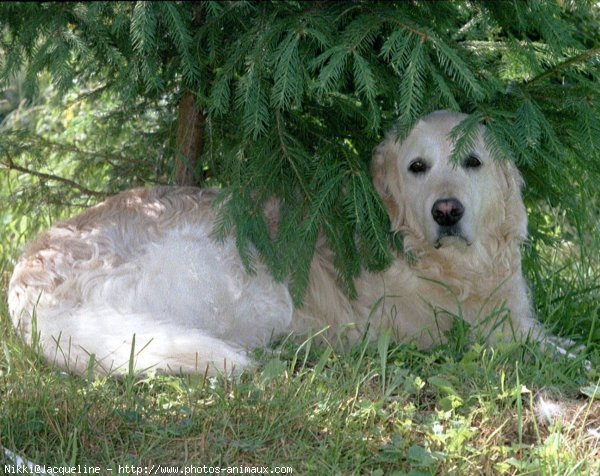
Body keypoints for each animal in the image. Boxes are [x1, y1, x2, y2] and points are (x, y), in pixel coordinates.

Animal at [8, 111, 544, 376]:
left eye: (473, 162)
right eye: (418, 167)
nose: (447, 211)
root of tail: (28, 274)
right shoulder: (482, 332)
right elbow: (550, 348)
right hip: (256, 288)